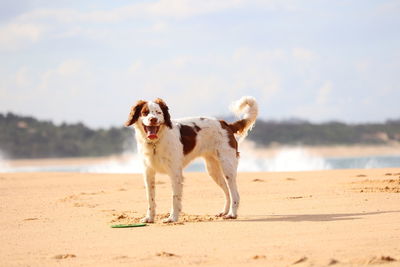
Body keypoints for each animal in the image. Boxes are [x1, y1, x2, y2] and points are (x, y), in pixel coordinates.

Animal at [123, 97, 258, 223]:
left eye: (158, 112)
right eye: (145, 113)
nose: (153, 120)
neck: (155, 142)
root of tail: (225, 124)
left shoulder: (175, 173)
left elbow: (175, 197)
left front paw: (172, 218)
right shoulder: (148, 172)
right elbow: (150, 198)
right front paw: (149, 218)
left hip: (227, 166)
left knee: (235, 193)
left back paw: (232, 214)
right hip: (212, 170)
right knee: (227, 192)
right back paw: (224, 212)